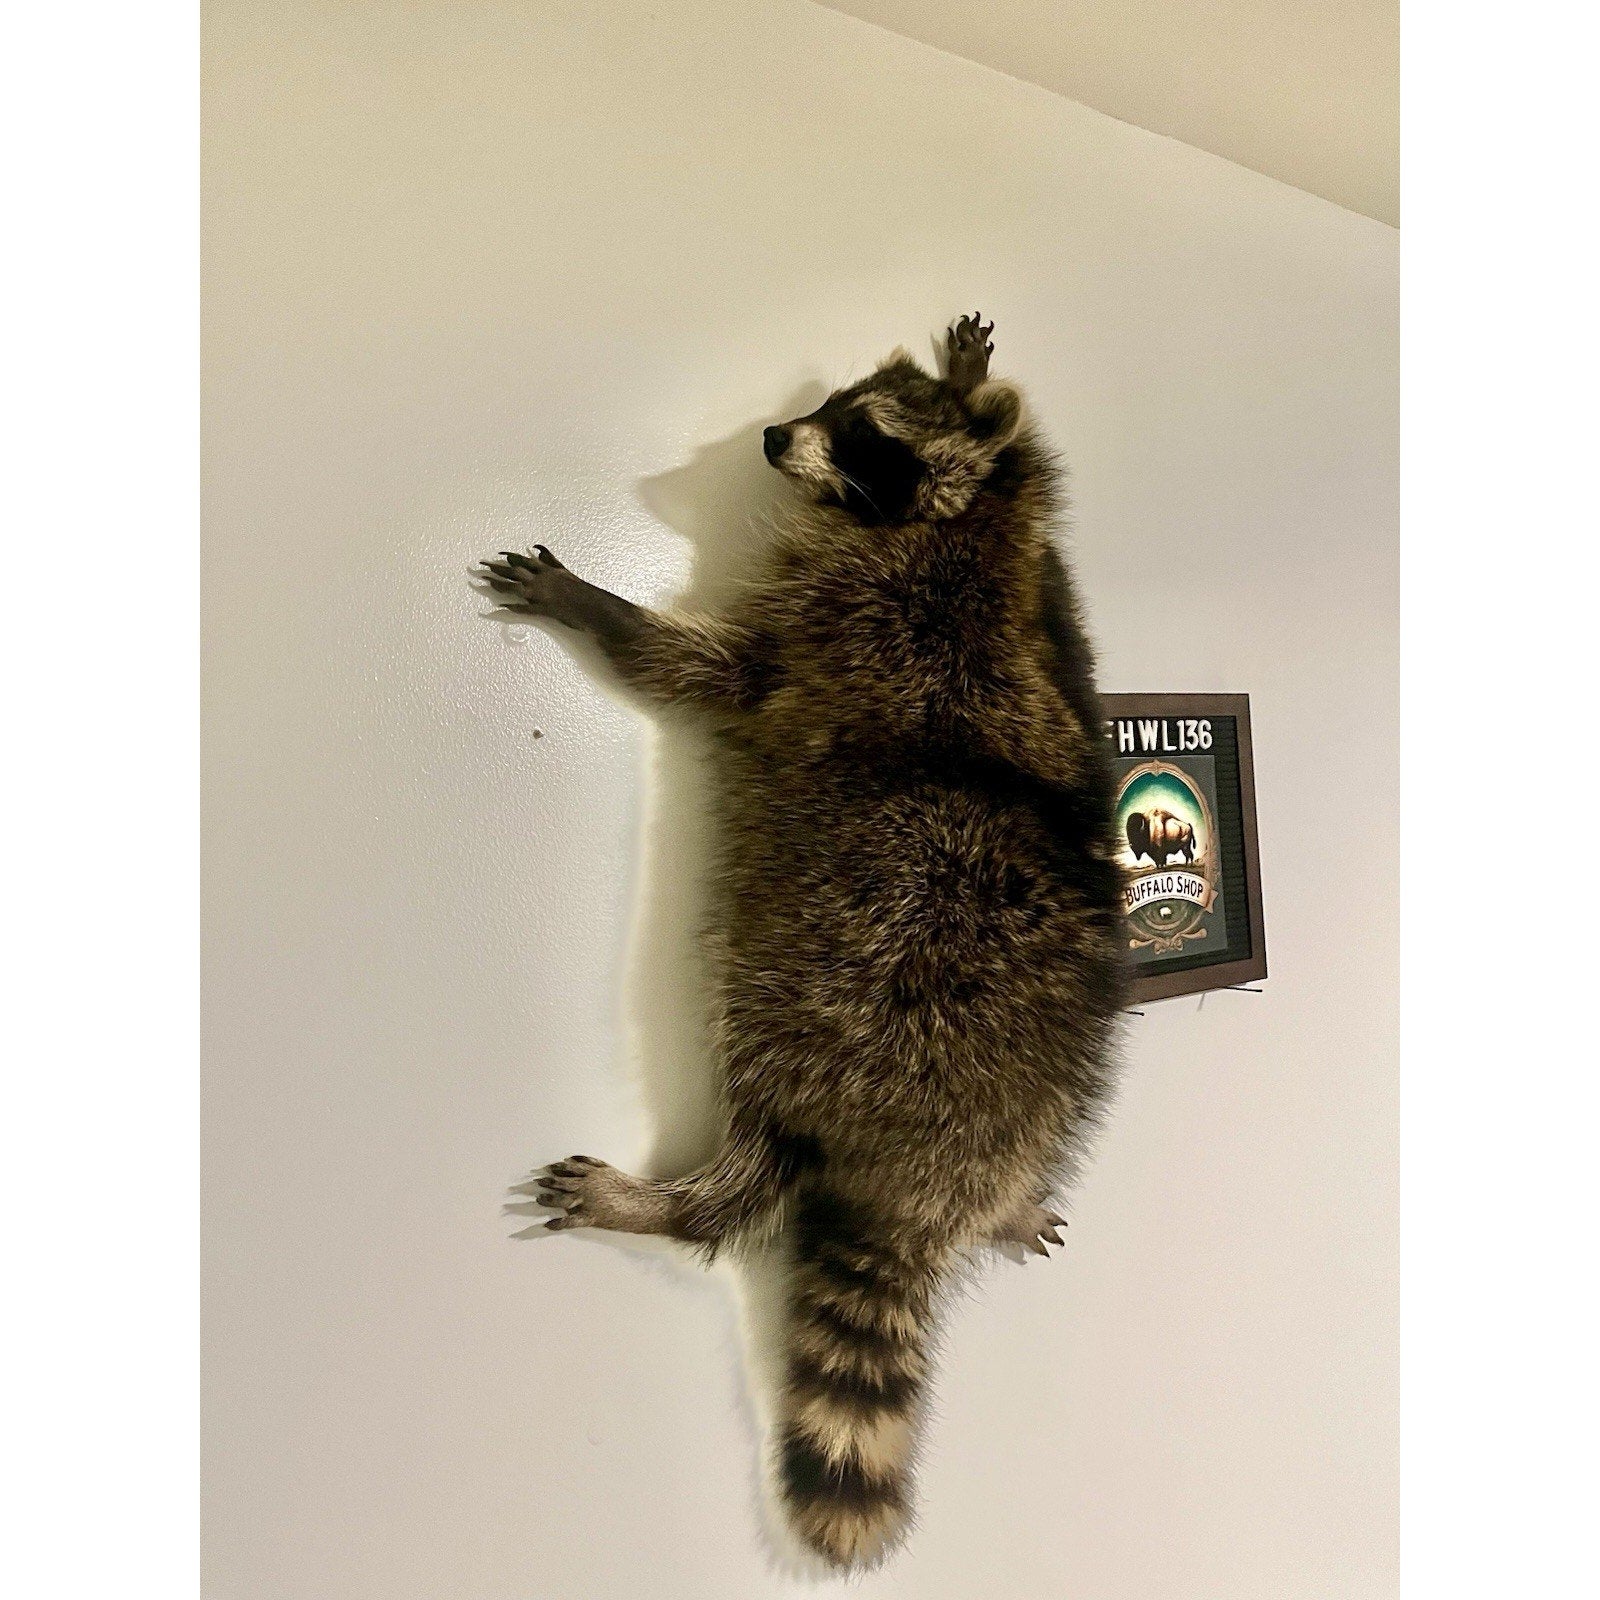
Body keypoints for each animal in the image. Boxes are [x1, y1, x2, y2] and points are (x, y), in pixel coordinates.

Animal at [479, 316, 1125, 1571]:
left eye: (862, 435)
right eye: (834, 403)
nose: (776, 436)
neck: (964, 526)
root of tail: (922, 1189)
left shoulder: (843, 621)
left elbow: (707, 667)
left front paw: (600, 605)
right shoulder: (1049, 585)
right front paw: (969, 374)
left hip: (838, 982)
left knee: (758, 1129)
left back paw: (678, 1200)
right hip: (1051, 1091)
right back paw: (1011, 1202)